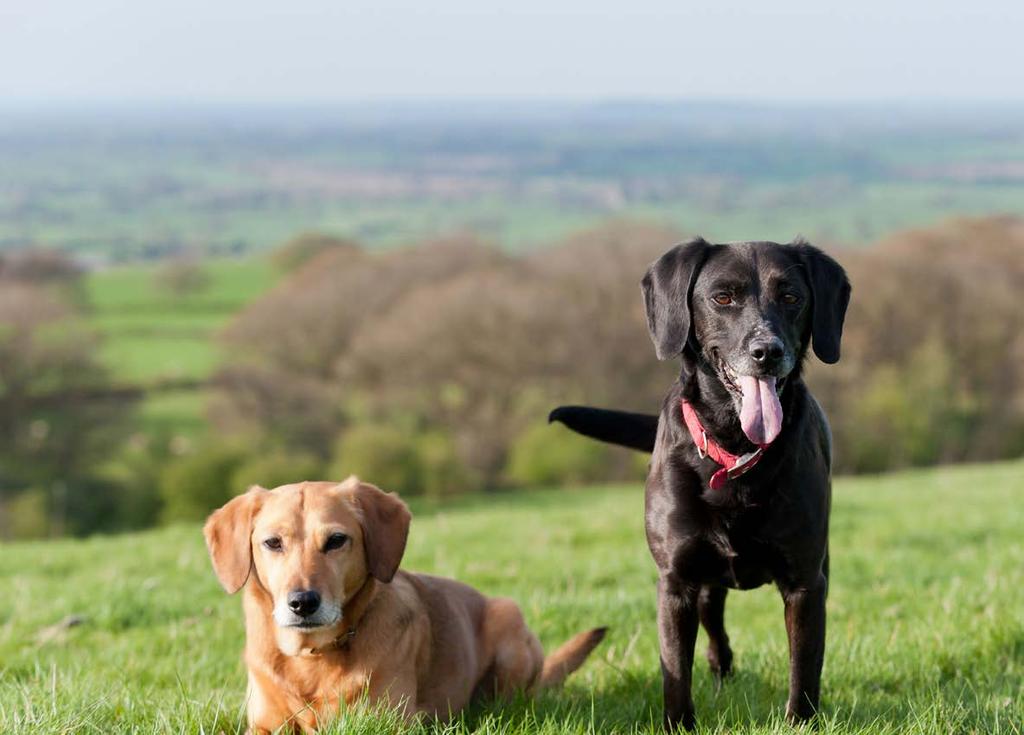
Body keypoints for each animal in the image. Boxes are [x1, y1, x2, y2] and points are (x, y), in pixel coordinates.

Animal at [205, 481, 606, 732]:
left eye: (336, 540)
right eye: (273, 542)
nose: (302, 602)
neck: (312, 657)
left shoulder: (389, 723)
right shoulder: (263, 725)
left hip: (509, 632)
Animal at [552, 237, 847, 732]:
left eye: (791, 297)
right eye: (722, 297)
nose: (767, 351)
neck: (735, 447)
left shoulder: (807, 583)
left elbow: (804, 669)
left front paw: (799, 721)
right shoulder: (677, 583)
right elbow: (675, 672)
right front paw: (680, 723)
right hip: (707, 585)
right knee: (715, 635)